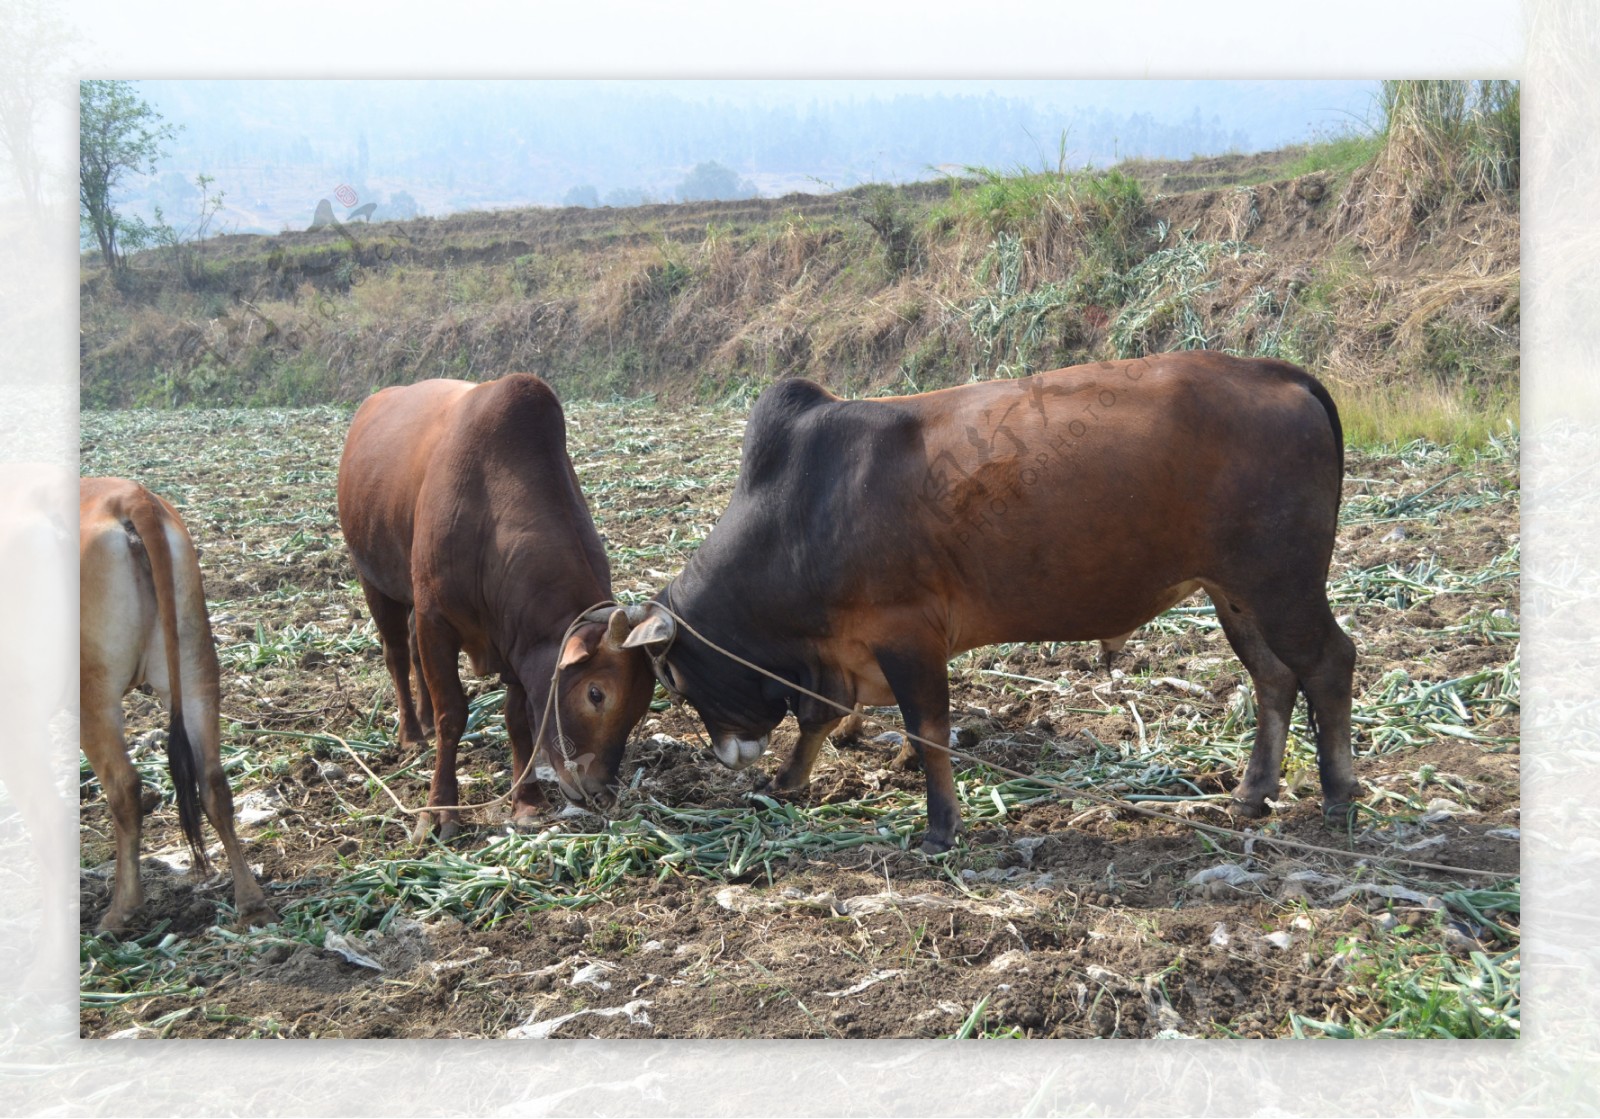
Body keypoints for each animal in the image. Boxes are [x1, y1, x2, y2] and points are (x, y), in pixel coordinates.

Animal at [78, 473, 278, 934]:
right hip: (194, 664)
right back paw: (251, 903)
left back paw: (120, 910)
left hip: (91, 690)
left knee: (124, 787)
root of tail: (128, 498)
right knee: (213, 782)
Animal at [337, 376, 656, 838]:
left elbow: (518, 720)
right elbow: (453, 713)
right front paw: (440, 810)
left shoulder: (518, 642)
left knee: (411, 651)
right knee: (396, 653)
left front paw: (526, 802)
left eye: (643, 702)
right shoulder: (437, 619)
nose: (598, 792)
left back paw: (423, 720)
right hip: (374, 580)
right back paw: (413, 733)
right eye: (596, 693)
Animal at [630, 353, 1356, 851]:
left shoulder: (908, 635)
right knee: (1273, 679)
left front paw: (941, 827)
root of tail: (1280, 374)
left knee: (1330, 663)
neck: (798, 511)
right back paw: (1252, 794)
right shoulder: (841, 654)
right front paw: (787, 783)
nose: (727, 753)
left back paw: (1340, 796)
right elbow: (820, 718)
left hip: (1282, 585)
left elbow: (926, 733)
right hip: (1236, 594)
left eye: (671, 678)